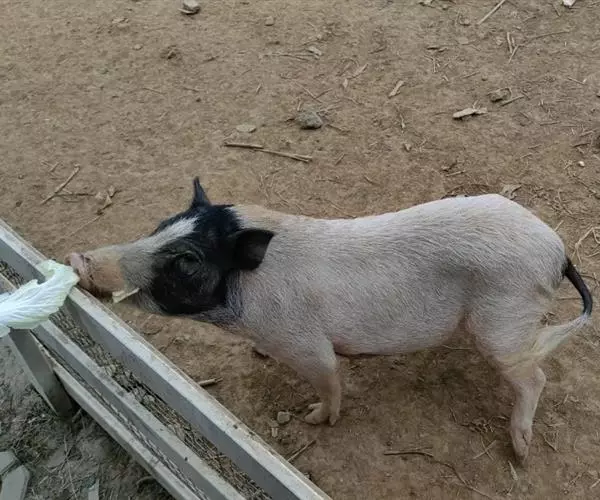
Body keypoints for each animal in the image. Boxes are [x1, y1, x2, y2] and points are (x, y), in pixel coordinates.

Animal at [66, 178, 593, 462]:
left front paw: (315, 418)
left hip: (502, 318)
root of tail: (558, 251)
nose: (77, 258)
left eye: (187, 261)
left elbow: (329, 378)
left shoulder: (303, 343)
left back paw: (520, 451)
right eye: (158, 228)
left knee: (535, 376)